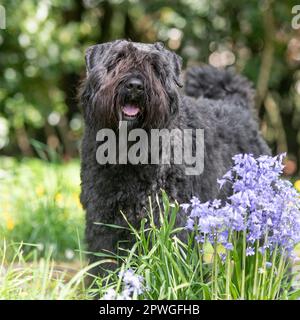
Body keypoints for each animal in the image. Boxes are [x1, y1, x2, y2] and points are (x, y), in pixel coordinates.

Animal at [78, 38, 270, 272]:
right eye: (117, 59)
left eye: (155, 66)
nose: (135, 85)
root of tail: (239, 108)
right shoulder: (103, 216)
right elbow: (105, 261)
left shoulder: (171, 216)